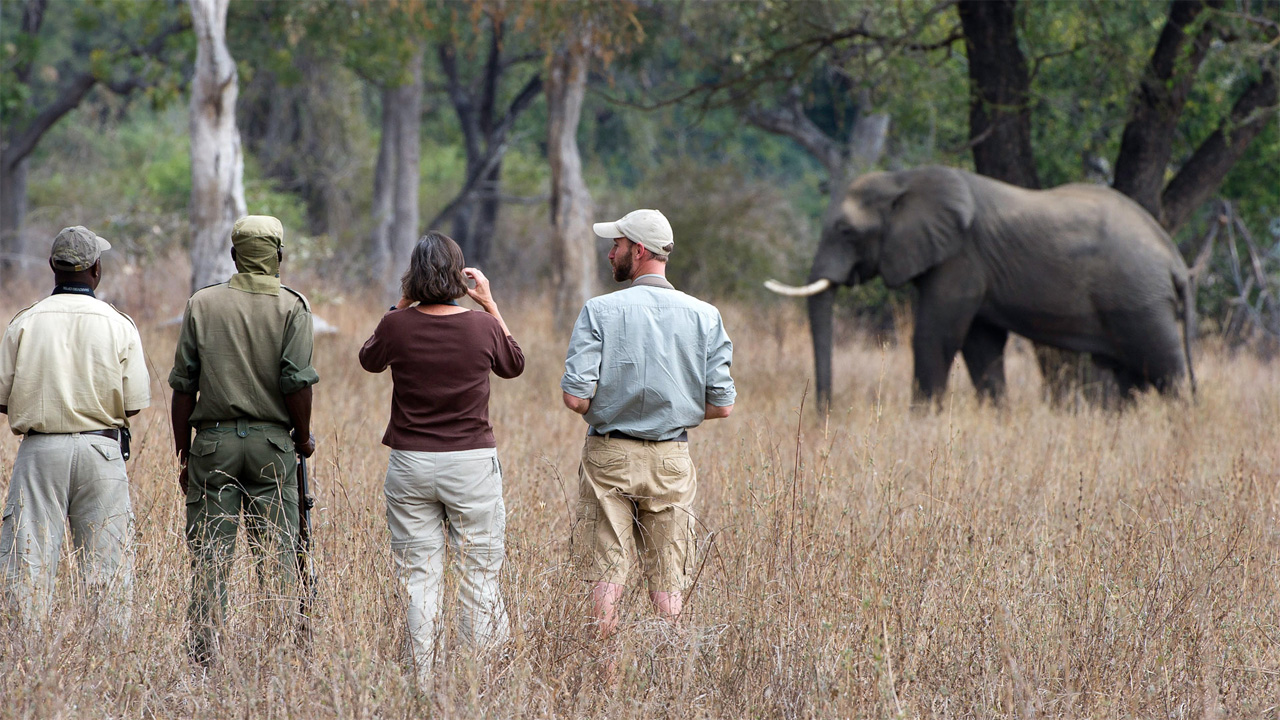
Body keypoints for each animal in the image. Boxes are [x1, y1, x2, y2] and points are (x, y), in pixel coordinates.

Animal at [768, 165, 1198, 407]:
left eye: (846, 231)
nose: (823, 412)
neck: (903, 180)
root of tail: (1173, 256)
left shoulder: (960, 258)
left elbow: (936, 337)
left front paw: (922, 421)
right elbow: (981, 346)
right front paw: (998, 418)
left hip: (1139, 299)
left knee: (1166, 368)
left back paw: (1184, 429)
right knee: (1130, 377)